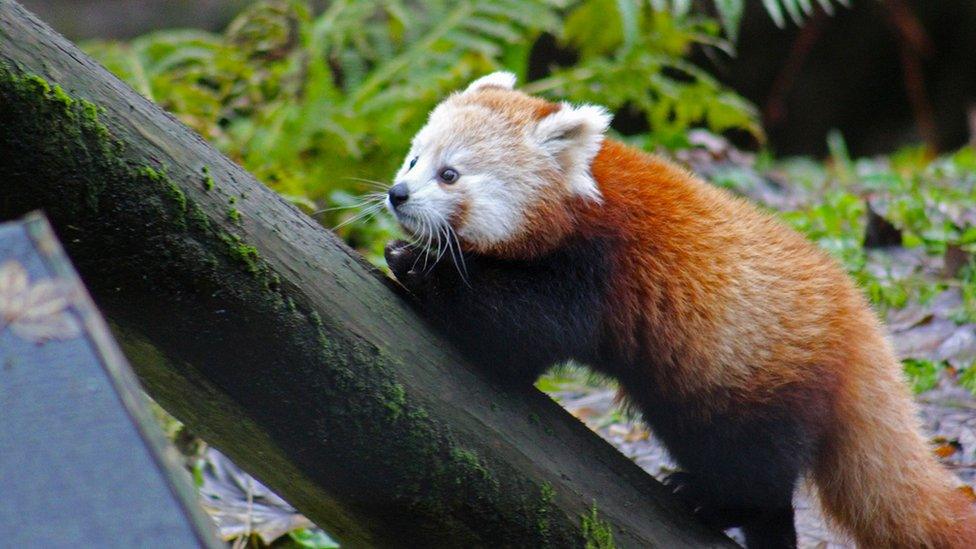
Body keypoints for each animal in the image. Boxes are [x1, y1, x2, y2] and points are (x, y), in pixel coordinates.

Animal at [380, 71, 976, 544]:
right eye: (413, 158)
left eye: (450, 174)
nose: (397, 194)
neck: (582, 198)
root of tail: (857, 321)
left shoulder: (594, 269)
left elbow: (518, 331)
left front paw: (420, 266)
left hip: (760, 386)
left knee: (756, 473)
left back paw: (717, 503)